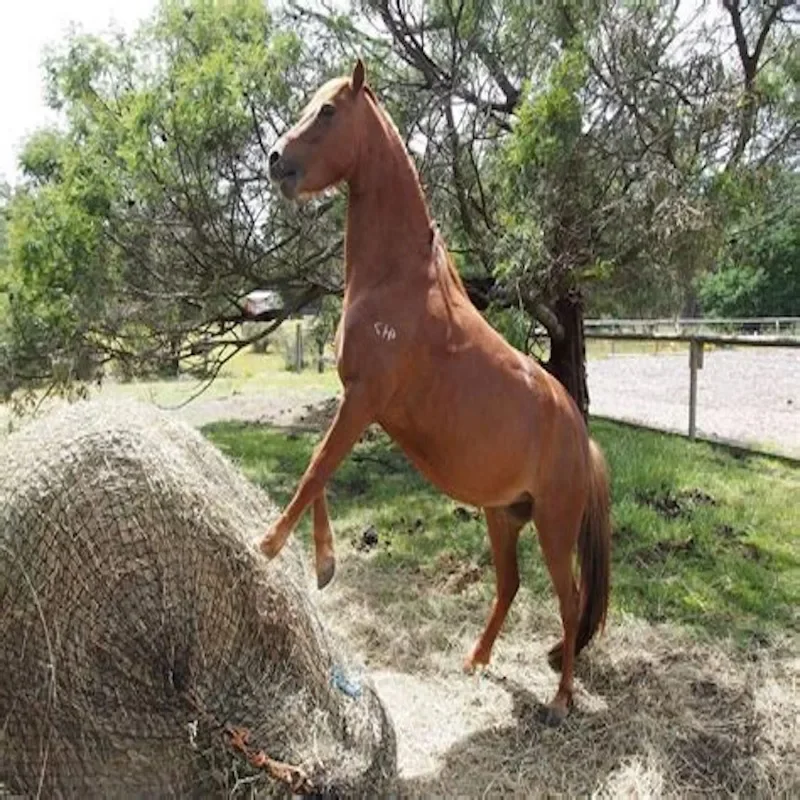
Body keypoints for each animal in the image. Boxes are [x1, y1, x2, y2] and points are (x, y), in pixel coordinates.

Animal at [261, 59, 611, 724]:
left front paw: (266, 544)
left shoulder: (364, 399)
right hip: (503, 517)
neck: (398, 282)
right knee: (510, 586)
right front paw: (324, 565)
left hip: (554, 528)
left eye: (328, 111)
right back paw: (477, 660)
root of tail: (582, 438)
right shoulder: (355, 400)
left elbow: (316, 466)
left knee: (571, 599)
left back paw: (560, 698)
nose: (276, 161)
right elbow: (319, 470)